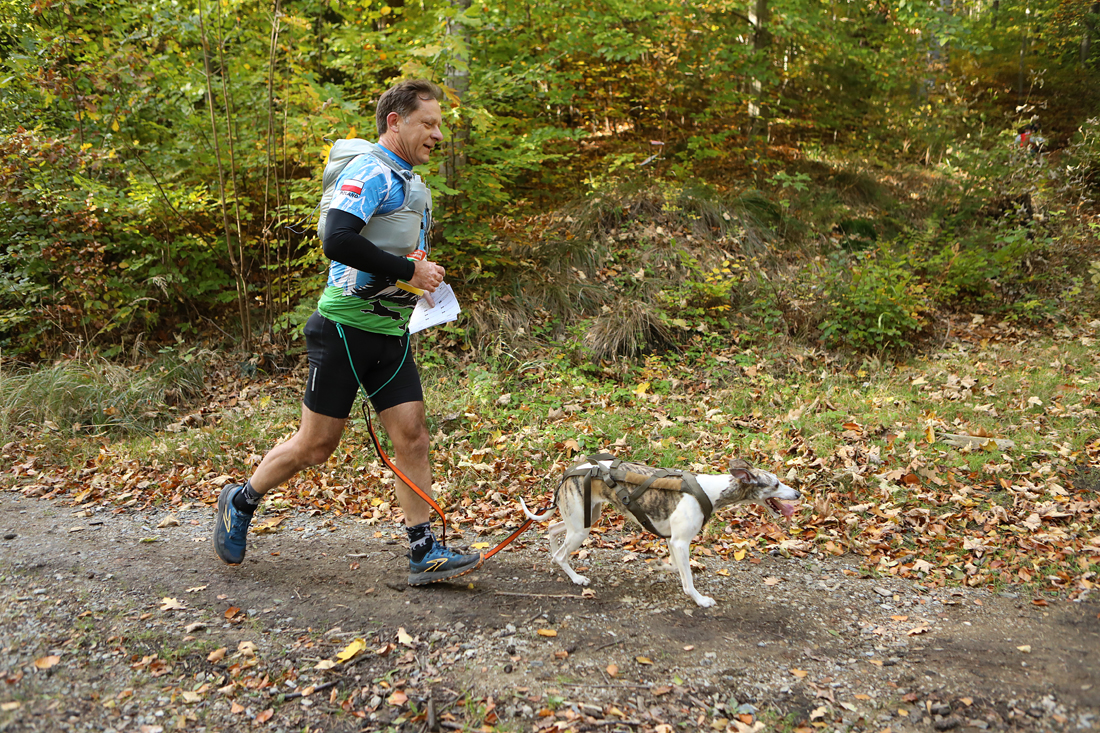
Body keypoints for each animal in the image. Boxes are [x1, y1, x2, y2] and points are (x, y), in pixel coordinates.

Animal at [520, 457, 800, 607]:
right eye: (776, 484)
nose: (798, 494)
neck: (709, 490)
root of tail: (567, 474)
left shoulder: (672, 541)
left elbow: (676, 567)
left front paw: (660, 566)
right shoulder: (680, 542)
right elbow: (687, 579)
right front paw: (700, 600)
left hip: (584, 519)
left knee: (552, 530)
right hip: (581, 527)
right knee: (561, 554)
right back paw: (576, 578)